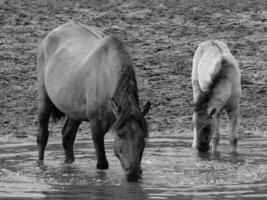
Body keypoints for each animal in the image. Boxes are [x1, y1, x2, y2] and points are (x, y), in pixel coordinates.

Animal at [36, 21, 152, 178]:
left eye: (143, 137)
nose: (133, 172)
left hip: (75, 111)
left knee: (67, 137)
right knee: (42, 136)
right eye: (120, 134)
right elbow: (102, 164)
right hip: (45, 99)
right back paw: (41, 165)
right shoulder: (96, 125)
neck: (106, 77)